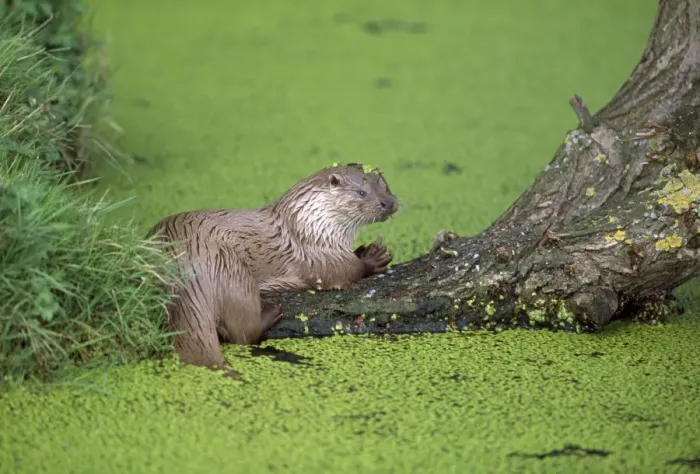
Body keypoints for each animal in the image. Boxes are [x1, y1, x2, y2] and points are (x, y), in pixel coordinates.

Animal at [146, 163, 398, 377]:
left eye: (385, 185)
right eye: (361, 193)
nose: (389, 203)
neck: (313, 228)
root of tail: (183, 269)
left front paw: (363, 250)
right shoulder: (317, 256)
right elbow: (345, 272)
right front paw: (373, 257)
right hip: (231, 269)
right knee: (243, 333)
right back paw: (271, 312)